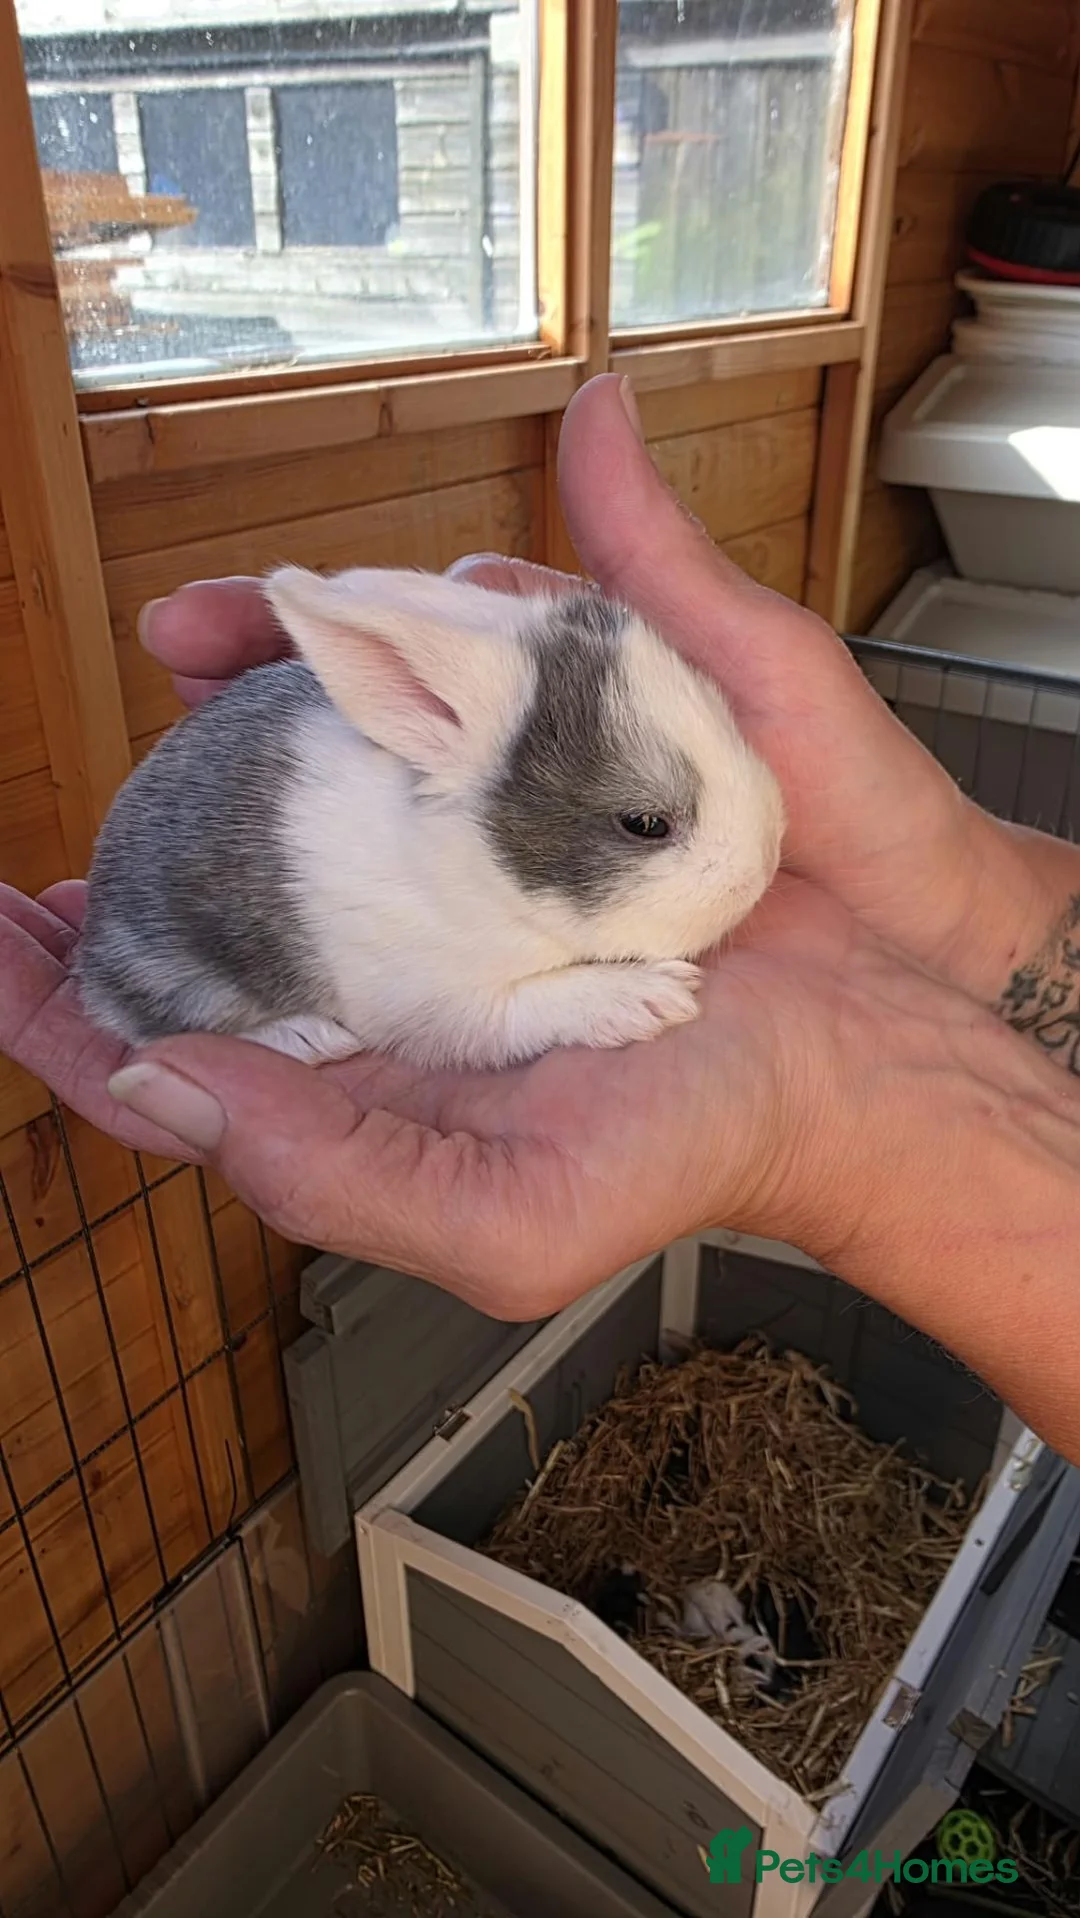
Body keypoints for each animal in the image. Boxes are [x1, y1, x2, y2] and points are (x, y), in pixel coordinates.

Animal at [74, 566, 784, 1072]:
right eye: (643, 823)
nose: (767, 863)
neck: (481, 875)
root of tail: (89, 948)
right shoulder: (440, 1003)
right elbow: (527, 1007)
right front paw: (646, 998)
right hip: (174, 971)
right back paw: (307, 1037)